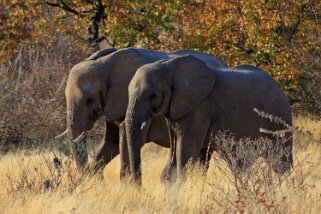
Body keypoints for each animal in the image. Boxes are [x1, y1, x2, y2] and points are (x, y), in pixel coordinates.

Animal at [124, 54, 292, 183]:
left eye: (153, 96)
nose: (137, 187)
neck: (168, 66)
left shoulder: (199, 107)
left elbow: (186, 151)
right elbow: (175, 151)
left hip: (279, 118)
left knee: (281, 163)